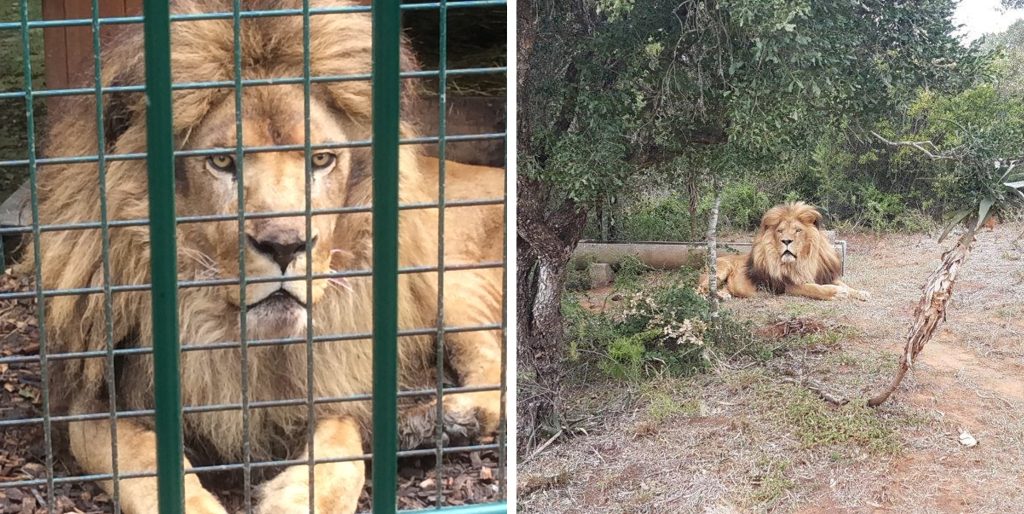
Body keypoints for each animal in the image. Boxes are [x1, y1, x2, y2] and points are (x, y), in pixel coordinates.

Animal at [22, 2, 501, 511]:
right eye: (222, 162)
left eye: (321, 160)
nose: (285, 245)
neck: (233, 340)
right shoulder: (96, 400)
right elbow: (146, 462)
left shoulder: (333, 378)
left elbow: (342, 452)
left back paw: (443, 422)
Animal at [696, 201, 872, 301]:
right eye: (780, 231)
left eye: (797, 230)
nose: (786, 241)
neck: (804, 260)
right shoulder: (789, 286)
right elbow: (814, 288)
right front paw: (836, 293)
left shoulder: (823, 275)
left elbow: (845, 284)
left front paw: (861, 292)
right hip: (721, 269)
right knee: (697, 290)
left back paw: (723, 295)